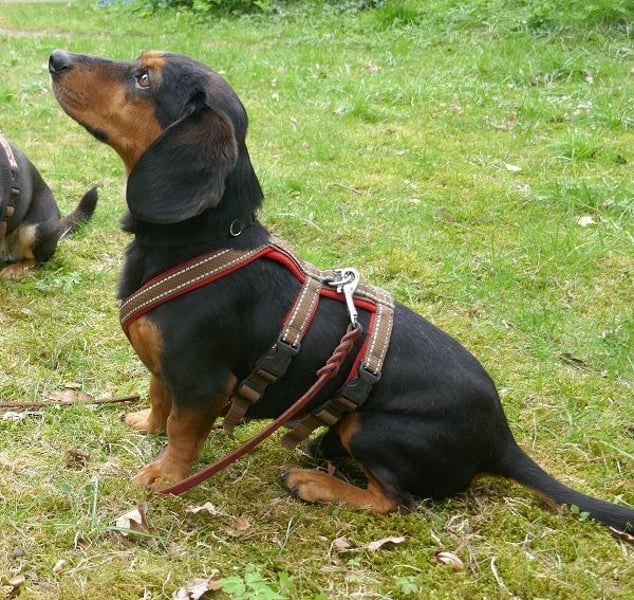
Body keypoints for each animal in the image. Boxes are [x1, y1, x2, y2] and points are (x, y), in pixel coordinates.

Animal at [49, 49, 633, 533]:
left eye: (144, 78)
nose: (55, 57)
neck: (201, 240)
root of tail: (501, 439)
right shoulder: (169, 371)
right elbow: (158, 397)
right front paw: (144, 424)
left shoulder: (204, 383)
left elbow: (182, 433)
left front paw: (163, 477)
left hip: (371, 427)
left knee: (394, 500)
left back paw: (315, 484)